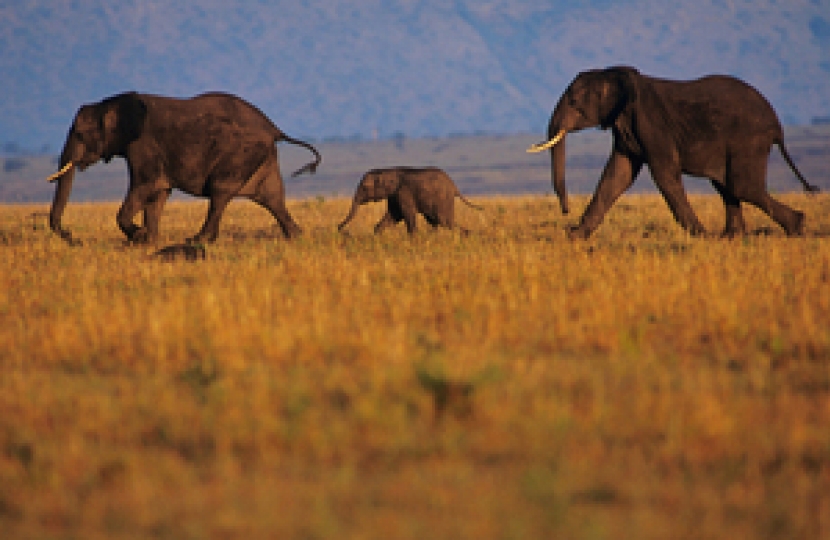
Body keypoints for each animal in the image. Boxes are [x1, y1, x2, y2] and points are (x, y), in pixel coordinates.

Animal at [46, 93, 322, 245]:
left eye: (79, 134)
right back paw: (296, 236)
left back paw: (198, 240)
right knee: (272, 198)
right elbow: (158, 194)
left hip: (240, 155)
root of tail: (274, 128)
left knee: (220, 192)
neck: (108, 103)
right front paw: (148, 240)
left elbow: (144, 186)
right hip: (262, 158)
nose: (72, 236)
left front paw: (139, 237)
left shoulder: (142, 145)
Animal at [336, 165, 480, 232]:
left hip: (443, 198)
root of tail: (454, 186)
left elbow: (407, 215)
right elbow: (393, 215)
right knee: (434, 221)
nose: (338, 227)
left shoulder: (403, 193)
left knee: (444, 221)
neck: (388, 171)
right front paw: (377, 234)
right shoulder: (394, 195)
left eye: (365, 187)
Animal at [528, 66, 816, 238]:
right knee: (727, 186)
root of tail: (777, 124)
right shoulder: (625, 127)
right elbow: (617, 176)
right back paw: (732, 237)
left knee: (742, 186)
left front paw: (701, 236)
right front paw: (575, 237)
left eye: (574, 102)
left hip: (749, 140)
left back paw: (796, 227)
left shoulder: (652, 124)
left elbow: (664, 174)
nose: (565, 213)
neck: (613, 73)